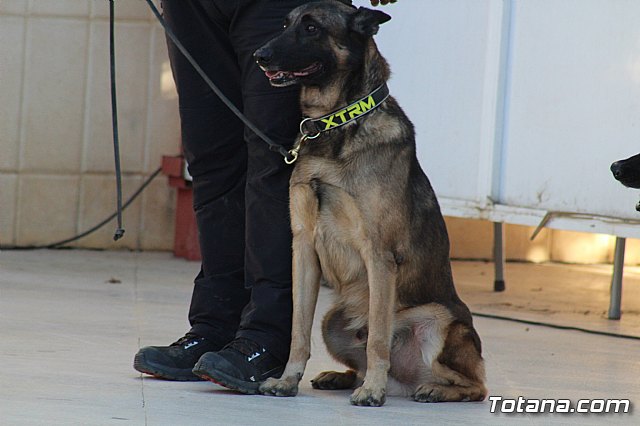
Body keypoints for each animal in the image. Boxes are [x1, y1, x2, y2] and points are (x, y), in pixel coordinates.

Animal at [252, 0, 488, 406]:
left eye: (312, 28)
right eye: (285, 24)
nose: (259, 56)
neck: (333, 126)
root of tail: (405, 381)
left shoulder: (379, 255)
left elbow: (378, 336)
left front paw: (372, 392)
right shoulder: (303, 248)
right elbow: (298, 331)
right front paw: (287, 380)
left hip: (440, 320)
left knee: (475, 384)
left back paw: (428, 389)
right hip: (332, 321)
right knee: (357, 361)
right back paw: (343, 377)